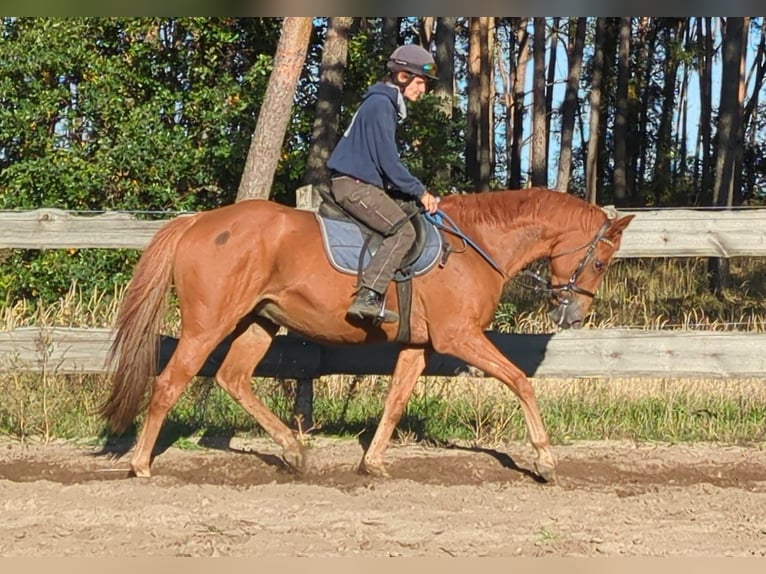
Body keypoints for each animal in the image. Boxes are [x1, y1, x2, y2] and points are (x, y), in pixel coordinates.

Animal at [97, 187, 636, 484]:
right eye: (601, 262)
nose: (573, 317)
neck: (476, 245)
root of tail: (198, 222)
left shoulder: (419, 346)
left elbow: (395, 402)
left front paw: (373, 463)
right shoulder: (459, 337)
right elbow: (521, 380)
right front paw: (545, 460)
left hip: (259, 321)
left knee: (233, 378)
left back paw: (293, 451)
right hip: (208, 324)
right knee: (170, 383)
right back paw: (141, 464)